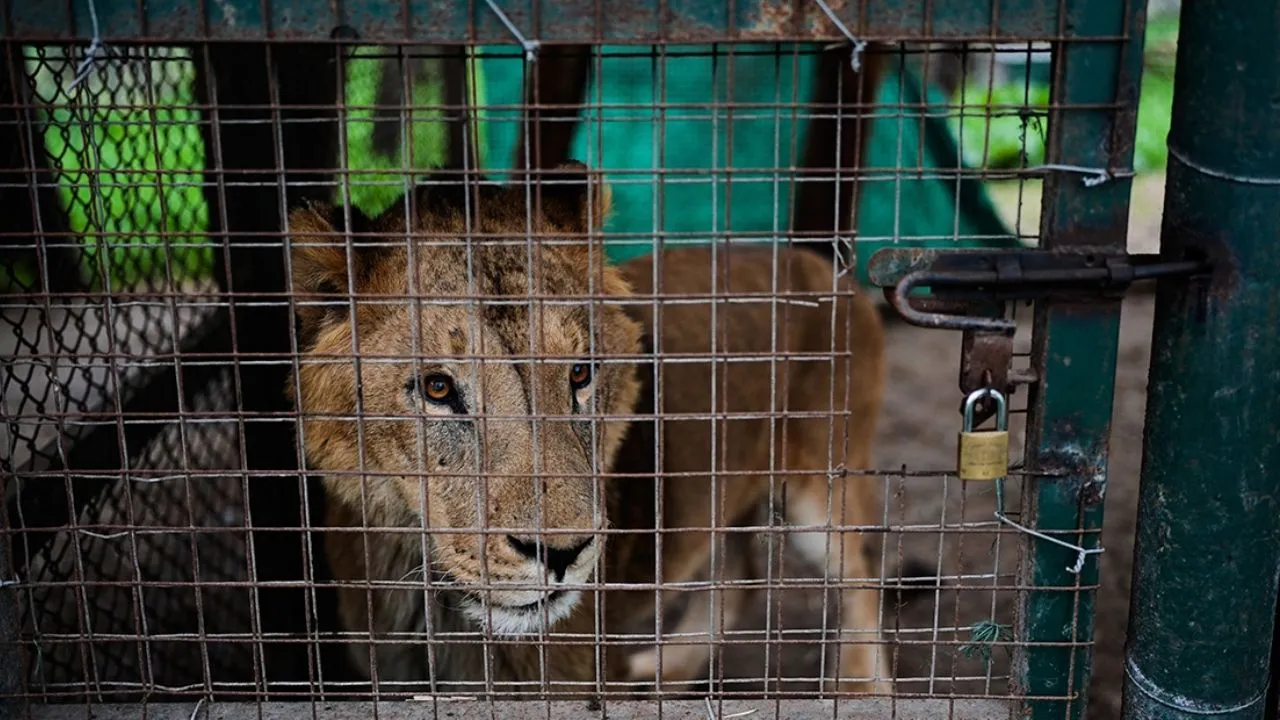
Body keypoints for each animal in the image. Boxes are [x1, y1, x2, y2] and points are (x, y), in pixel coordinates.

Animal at [285, 161, 890, 699]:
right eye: (438, 389)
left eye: (579, 373)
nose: (562, 554)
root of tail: (820, 265)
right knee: (739, 578)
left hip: (822, 493)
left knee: (860, 577)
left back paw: (859, 688)